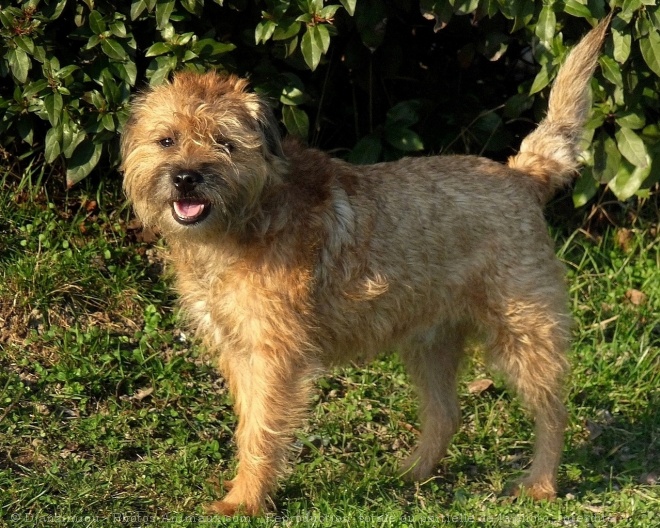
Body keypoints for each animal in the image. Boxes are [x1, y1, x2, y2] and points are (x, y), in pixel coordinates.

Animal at [120, 19, 608, 516]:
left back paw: (539, 485)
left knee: (552, 412)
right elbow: (247, 425)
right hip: (431, 343)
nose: (186, 177)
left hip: (525, 332)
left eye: (226, 143)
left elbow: (261, 431)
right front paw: (245, 489)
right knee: (446, 414)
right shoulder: (238, 350)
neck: (248, 219)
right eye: (166, 139)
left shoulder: (274, 356)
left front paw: (244, 501)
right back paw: (410, 475)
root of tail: (524, 174)